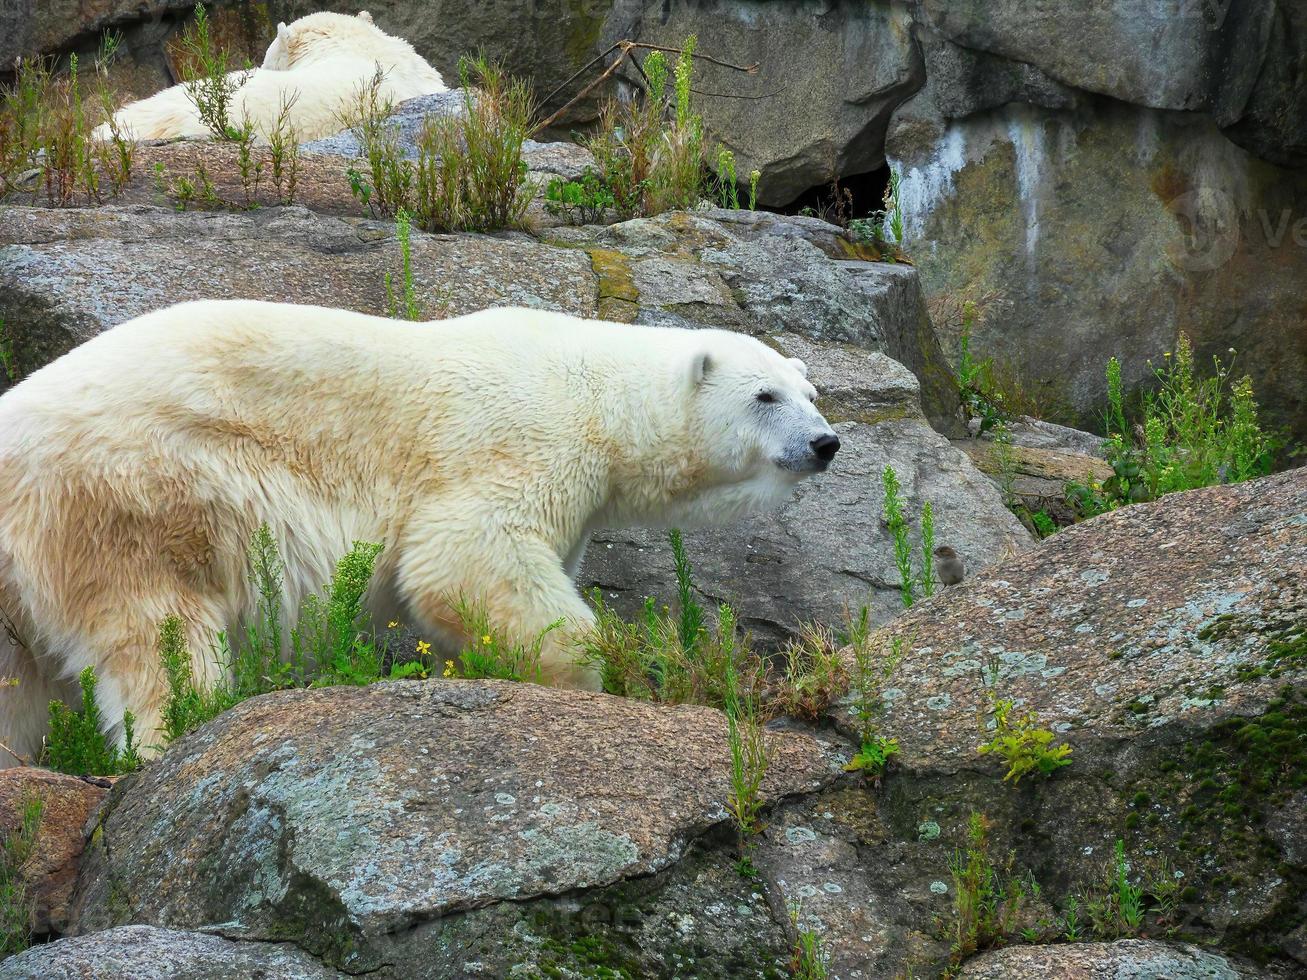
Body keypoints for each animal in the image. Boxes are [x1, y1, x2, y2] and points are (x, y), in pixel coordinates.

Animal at [0, 303, 836, 763]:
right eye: (764, 396)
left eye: (810, 392)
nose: (826, 443)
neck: (593, 389)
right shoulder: (512, 440)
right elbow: (464, 560)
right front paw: (590, 682)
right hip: (135, 491)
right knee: (159, 635)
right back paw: (183, 728)